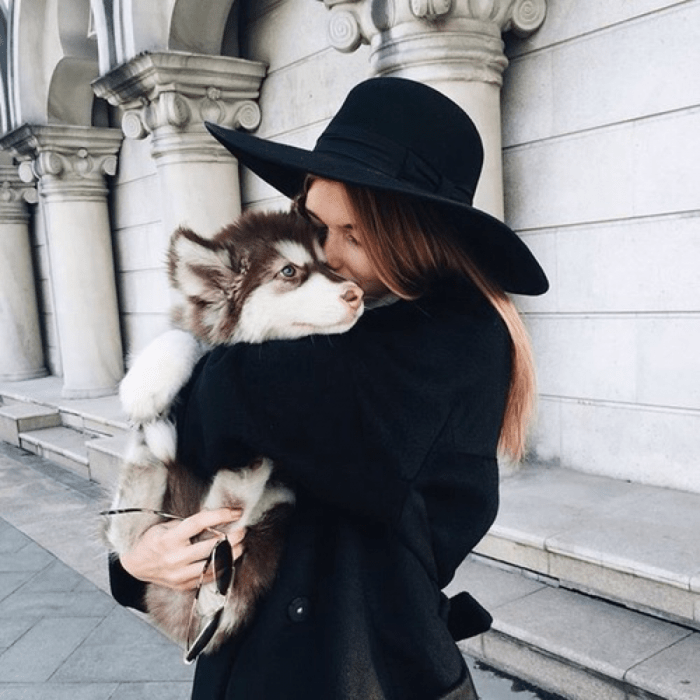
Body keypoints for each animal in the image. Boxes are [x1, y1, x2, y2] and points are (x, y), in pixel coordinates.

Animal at [108, 212, 366, 656]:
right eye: (289, 271)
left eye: (328, 263)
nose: (356, 293)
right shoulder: (194, 324)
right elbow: (182, 335)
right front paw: (144, 385)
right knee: (129, 531)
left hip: (273, 514)